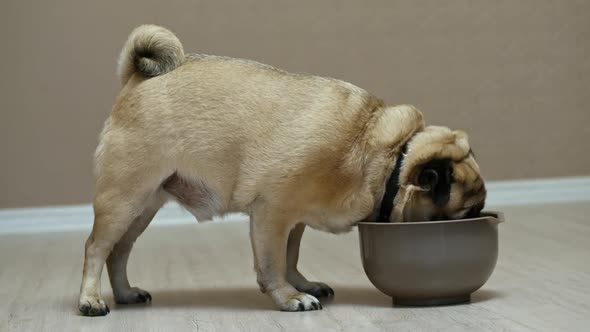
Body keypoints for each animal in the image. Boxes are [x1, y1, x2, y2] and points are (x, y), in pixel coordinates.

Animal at [77, 24, 486, 316]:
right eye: (467, 211)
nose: (482, 213)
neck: (383, 154)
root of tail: (136, 79)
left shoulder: (295, 219)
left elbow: (291, 255)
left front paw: (301, 284)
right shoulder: (271, 214)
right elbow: (273, 262)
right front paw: (290, 297)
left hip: (144, 206)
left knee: (119, 250)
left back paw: (125, 293)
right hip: (124, 197)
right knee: (96, 247)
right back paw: (90, 300)